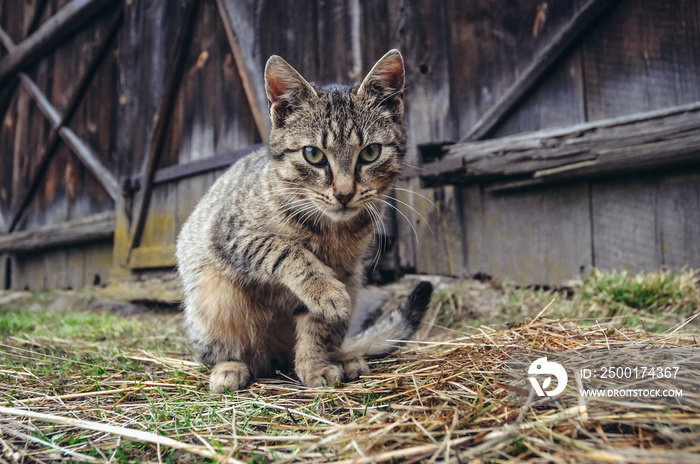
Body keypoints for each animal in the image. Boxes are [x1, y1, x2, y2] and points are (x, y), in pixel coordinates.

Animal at [175, 49, 432, 392]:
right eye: (313, 154)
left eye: (370, 153)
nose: (345, 194)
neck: (330, 230)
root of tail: (273, 358)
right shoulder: (233, 234)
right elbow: (286, 249)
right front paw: (325, 290)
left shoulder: (343, 272)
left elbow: (318, 326)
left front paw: (315, 366)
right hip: (211, 298)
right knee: (223, 351)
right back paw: (230, 367)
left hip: (353, 283)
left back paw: (343, 358)